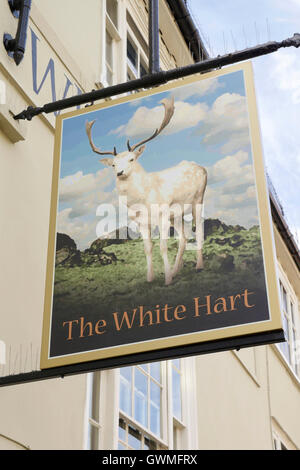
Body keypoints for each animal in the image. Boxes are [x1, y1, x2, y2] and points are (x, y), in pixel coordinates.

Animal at [84, 97, 206, 284]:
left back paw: (198, 266)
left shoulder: (162, 215)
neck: (142, 201)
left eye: (131, 159)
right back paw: (177, 270)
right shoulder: (140, 222)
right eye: (113, 164)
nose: (120, 172)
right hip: (176, 215)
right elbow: (148, 248)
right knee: (184, 238)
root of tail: (202, 168)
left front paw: (167, 279)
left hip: (198, 199)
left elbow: (162, 246)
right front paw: (150, 278)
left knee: (198, 230)